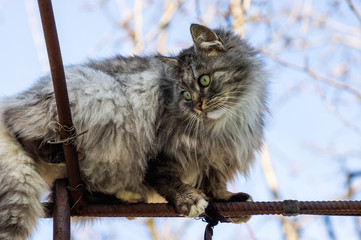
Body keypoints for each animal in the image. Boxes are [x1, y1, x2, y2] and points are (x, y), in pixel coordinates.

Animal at [0, 23, 266, 239]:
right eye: (186, 95)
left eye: (204, 81)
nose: (197, 106)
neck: (225, 126)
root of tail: (16, 101)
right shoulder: (164, 148)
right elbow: (165, 178)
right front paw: (188, 199)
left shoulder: (217, 161)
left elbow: (215, 186)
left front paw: (228, 199)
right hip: (98, 93)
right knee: (23, 130)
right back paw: (55, 152)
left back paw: (121, 197)